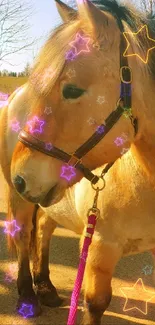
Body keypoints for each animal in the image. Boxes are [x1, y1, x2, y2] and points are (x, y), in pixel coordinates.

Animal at [0, 0, 155, 322]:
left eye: (71, 90)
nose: (20, 177)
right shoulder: (99, 246)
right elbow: (95, 303)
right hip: (22, 202)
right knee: (23, 236)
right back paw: (28, 295)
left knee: (43, 227)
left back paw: (45, 287)